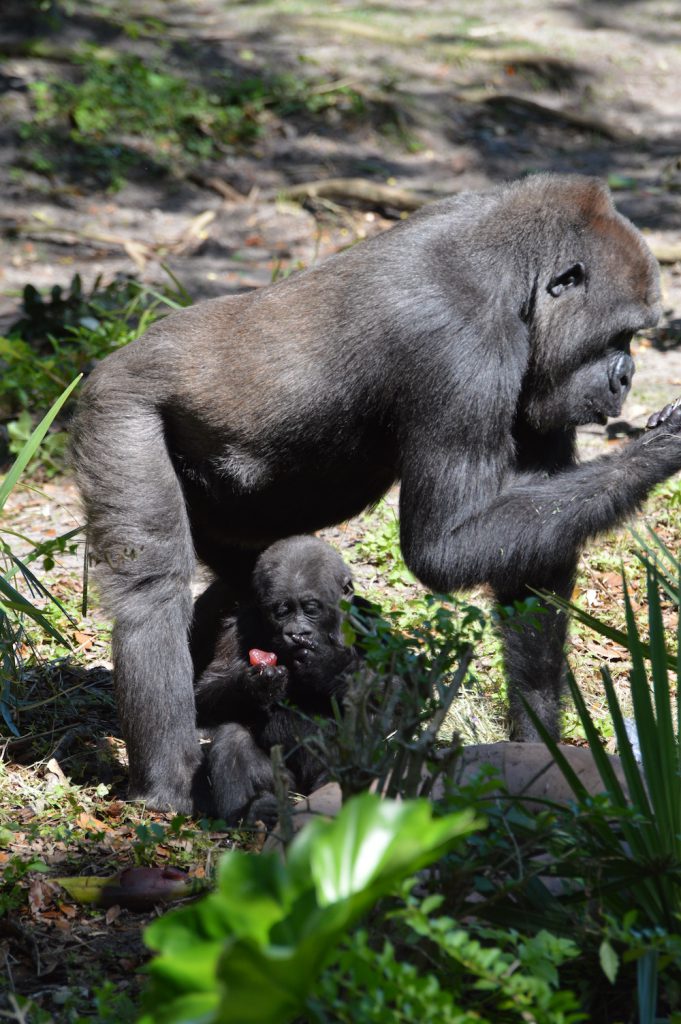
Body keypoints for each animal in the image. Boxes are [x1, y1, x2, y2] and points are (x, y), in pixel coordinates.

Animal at [193, 536, 358, 823]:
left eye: (311, 609)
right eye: (282, 611)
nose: (297, 632)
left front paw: (327, 665)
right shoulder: (240, 623)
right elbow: (206, 692)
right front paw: (256, 686)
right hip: (284, 784)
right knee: (233, 736)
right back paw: (253, 811)